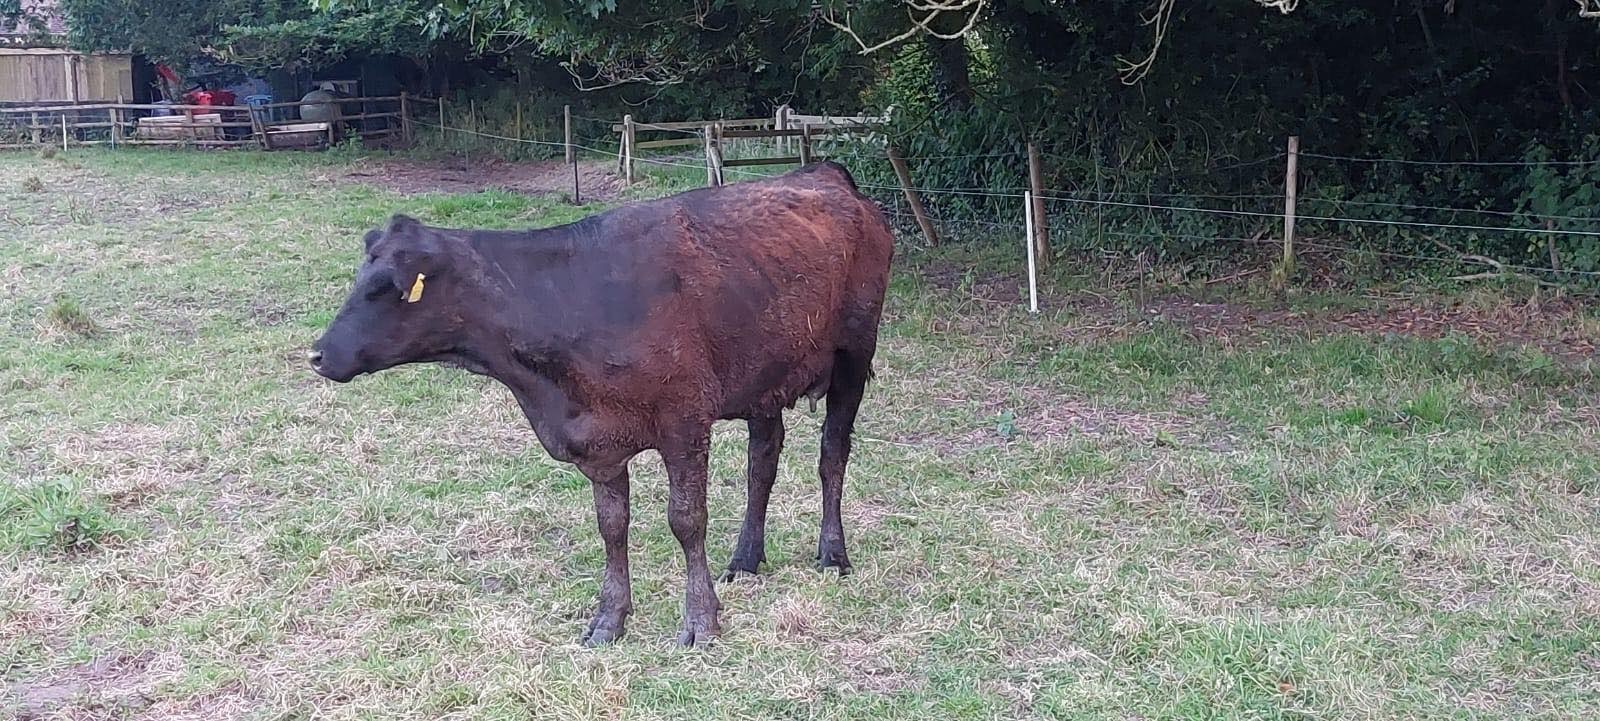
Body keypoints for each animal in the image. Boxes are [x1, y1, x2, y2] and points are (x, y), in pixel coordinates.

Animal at [305, 162, 896, 649]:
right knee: (763, 463)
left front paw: (700, 621)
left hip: (853, 352)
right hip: (763, 376)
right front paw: (610, 619)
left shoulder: (685, 421)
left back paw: (832, 554)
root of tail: (827, 175)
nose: (316, 353)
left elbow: (686, 520)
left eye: (386, 287)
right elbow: (612, 526)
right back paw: (746, 559)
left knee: (832, 454)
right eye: (359, 278)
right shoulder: (599, 442)